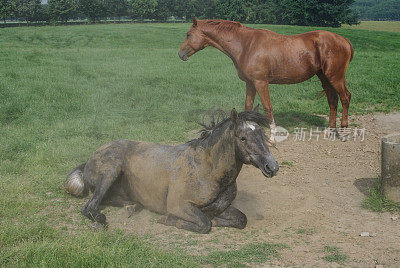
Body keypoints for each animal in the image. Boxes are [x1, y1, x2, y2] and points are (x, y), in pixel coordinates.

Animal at [65, 108, 278, 233]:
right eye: (243, 138)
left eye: (262, 134)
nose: (272, 166)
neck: (207, 170)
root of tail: (89, 160)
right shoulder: (179, 206)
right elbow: (205, 224)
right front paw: (168, 220)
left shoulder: (221, 207)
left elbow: (241, 219)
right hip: (111, 171)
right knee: (91, 206)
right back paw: (102, 219)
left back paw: (132, 207)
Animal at [180, 18, 354, 141]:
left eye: (188, 34)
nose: (180, 54)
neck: (246, 45)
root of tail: (344, 40)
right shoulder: (250, 83)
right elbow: (248, 106)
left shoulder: (261, 82)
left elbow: (267, 107)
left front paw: (272, 135)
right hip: (325, 78)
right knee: (333, 101)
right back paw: (329, 131)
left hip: (335, 78)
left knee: (345, 97)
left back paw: (344, 131)